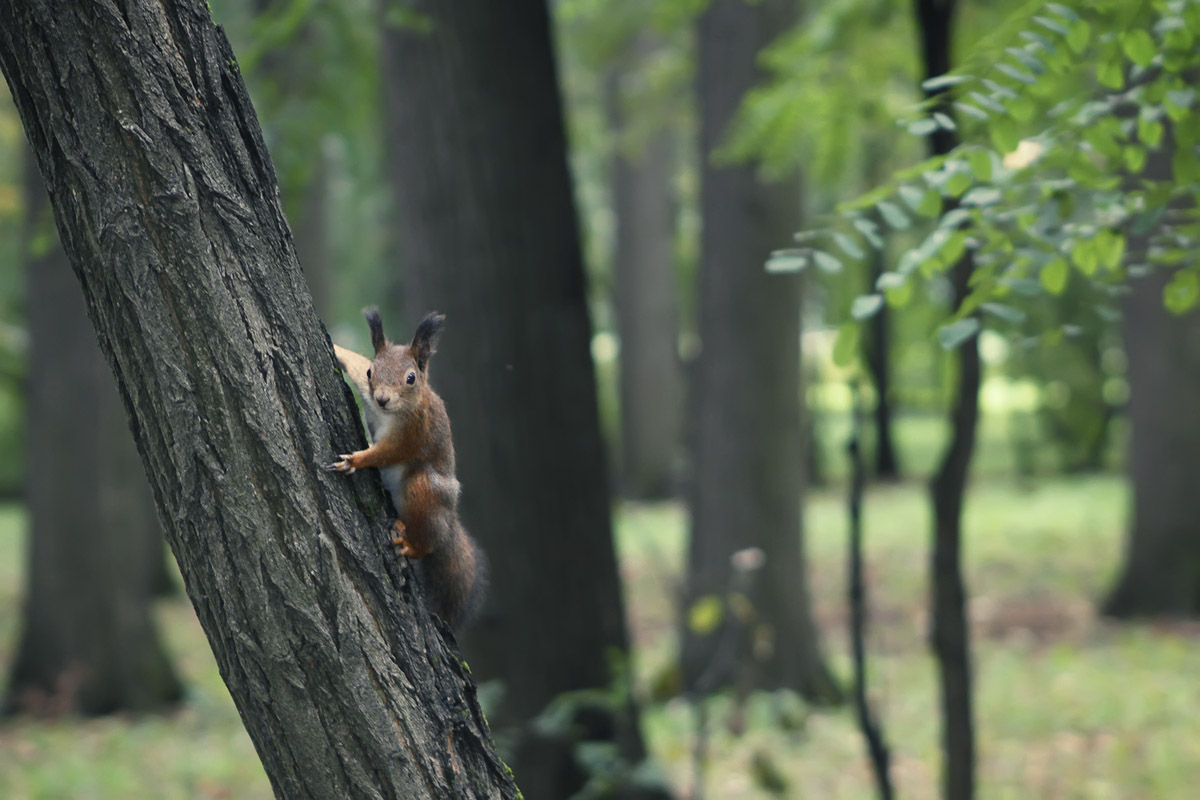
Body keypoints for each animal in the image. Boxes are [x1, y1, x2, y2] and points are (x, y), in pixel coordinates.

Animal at [328, 309, 487, 628]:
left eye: (411, 378)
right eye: (371, 372)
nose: (382, 399)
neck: (391, 412)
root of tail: (449, 523)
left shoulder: (414, 431)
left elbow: (388, 452)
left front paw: (355, 460)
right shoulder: (366, 390)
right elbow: (354, 360)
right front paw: (337, 348)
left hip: (425, 489)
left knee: (428, 540)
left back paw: (410, 543)